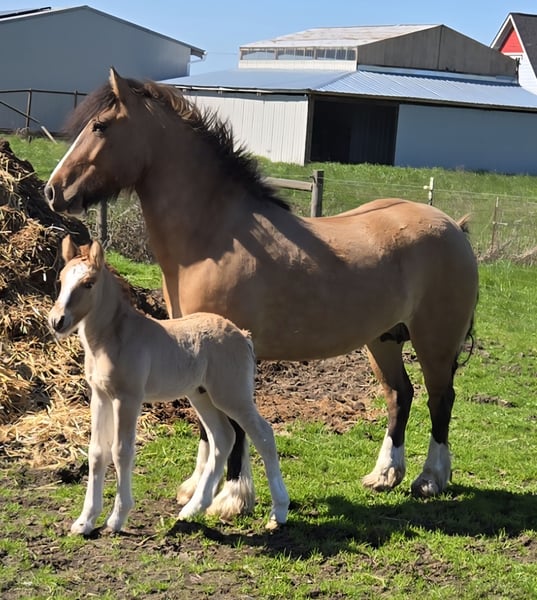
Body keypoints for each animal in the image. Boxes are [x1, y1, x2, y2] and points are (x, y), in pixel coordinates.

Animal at [48, 235, 289, 534]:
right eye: (61, 280)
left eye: (88, 283)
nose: (57, 321)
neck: (114, 337)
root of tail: (243, 336)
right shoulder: (100, 396)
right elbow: (96, 452)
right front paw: (84, 521)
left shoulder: (127, 398)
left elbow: (121, 451)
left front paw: (116, 519)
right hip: (201, 395)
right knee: (223, 438)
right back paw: (192, 509)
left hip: (232, 396)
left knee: (263, 434)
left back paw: (278, 512)